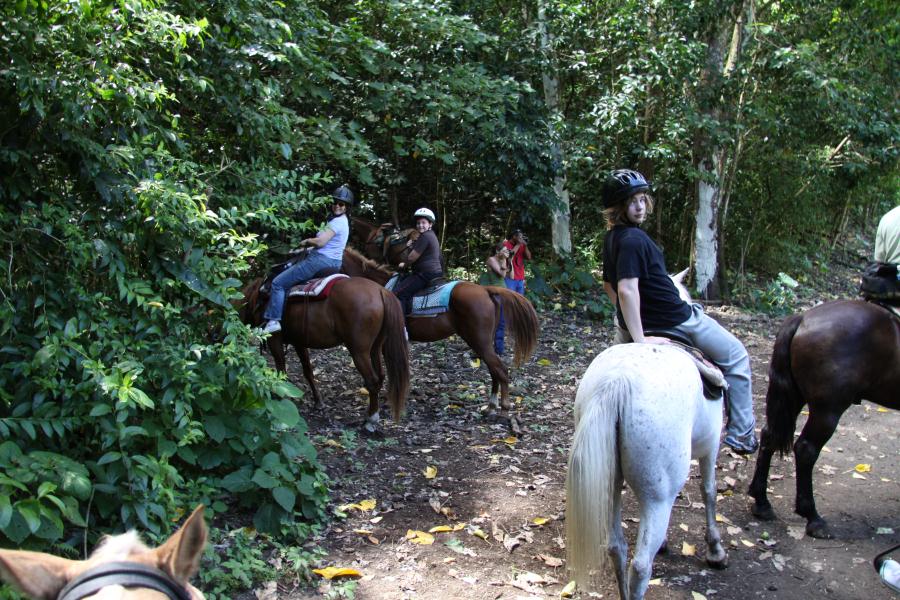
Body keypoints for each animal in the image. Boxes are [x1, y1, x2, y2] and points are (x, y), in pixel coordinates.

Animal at [239, 275, 410, 432]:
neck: (257, 299)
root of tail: (381, 291)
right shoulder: (299, 342)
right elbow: (308, 371)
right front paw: (318, 402)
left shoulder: (275, 340)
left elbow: (281, 370)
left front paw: (278, 399)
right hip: (376, 347)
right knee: (380, 376)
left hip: (359, 351)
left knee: (372, 381)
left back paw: (371, 420)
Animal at [340, 248, 539, 430]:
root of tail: (485, 290)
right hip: (482, 342)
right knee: (494, 370)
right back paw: (491, 407)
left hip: (479, 341)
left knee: (501, 370)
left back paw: (503, 410)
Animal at [566, 343, 727, 600]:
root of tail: (617, 382)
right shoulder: (711, 448)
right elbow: (709, 491)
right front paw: (716, 550)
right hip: (657, 498)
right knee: (640, 566)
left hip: (609, 484)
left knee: (616, 547)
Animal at [748, 299, 900, 539]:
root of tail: (802, 318)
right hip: (827, 410)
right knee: (806, 449)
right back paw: (812, 517)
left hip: (794, 396)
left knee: (770, 436)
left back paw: (762, 503)